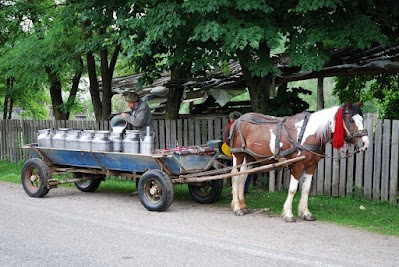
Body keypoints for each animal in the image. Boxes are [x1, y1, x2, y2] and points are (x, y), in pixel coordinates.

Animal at [230, 102, 370, 222]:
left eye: (361, 119)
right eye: (351, 120)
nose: (365, 143)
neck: (310, 133)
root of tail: (238, 120)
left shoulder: (311, 166)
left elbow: (306, 189)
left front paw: (306, 213)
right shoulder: (298, 165)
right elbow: (293, 189)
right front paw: (288, 214)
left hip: (249, 157)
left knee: (242, 177)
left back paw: (243, 205)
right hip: (238, 155)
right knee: (235, 177)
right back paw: (237, 208)